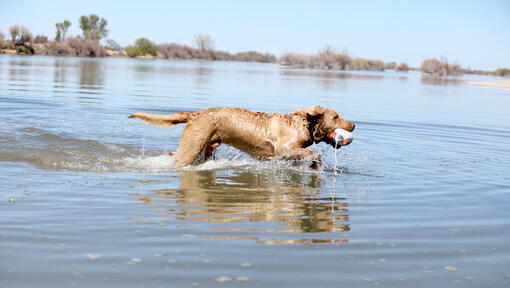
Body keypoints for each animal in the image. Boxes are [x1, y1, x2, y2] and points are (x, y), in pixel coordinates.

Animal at [129, 106, 356, 169]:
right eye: (336, 116)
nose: (354, 125)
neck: (303, 124)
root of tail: (195, 114)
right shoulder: (283, 150)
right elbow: (314, 152)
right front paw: (318, 165)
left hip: (205, 149)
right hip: (190, 149)